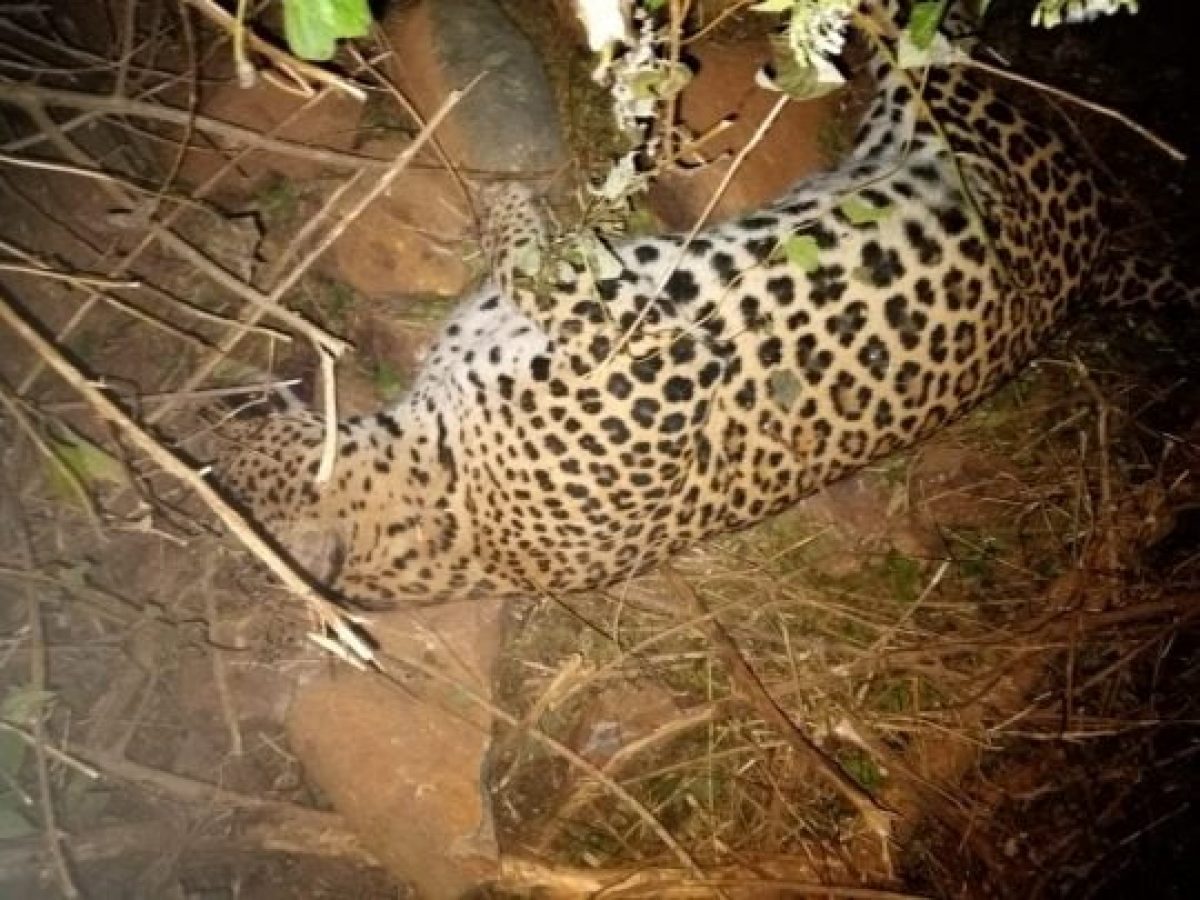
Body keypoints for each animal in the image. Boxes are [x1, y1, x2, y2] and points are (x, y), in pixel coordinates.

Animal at [216, 0, 1193, 609]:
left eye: (236, 452)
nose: (214, 415)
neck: (447, 502)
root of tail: (1094, 254)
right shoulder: (648, 353)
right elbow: (543, 267)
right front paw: (514, 214)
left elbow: (530, 257)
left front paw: (504, 200)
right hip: (948, 117)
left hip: (954, 113)